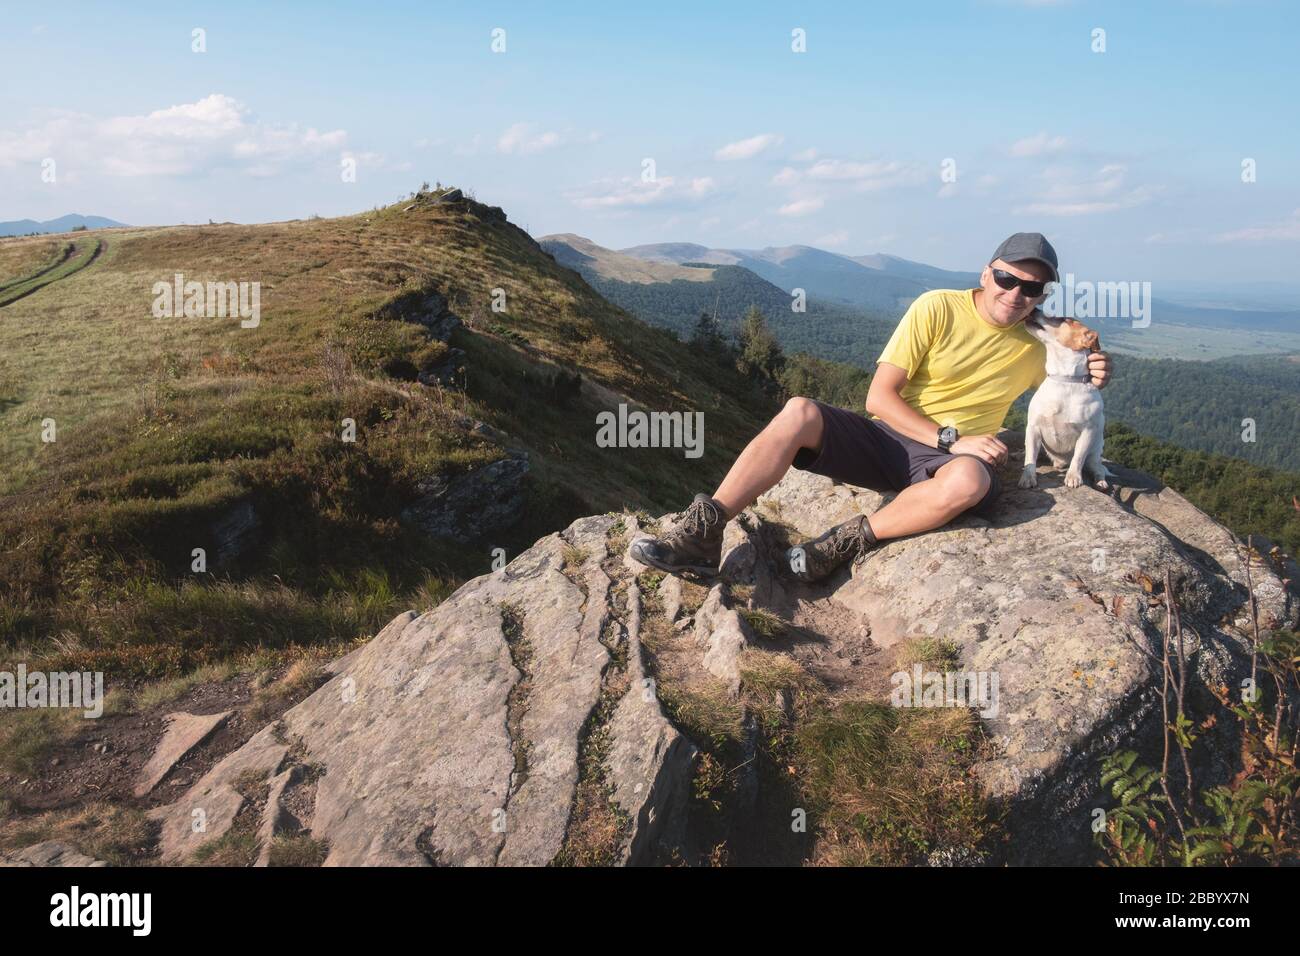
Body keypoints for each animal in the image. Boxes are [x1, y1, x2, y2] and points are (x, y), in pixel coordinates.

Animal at [1019, 314, 1112, 494]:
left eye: (1062, 319)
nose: (1035, 310)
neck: (1064, 380)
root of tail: (1060, 463)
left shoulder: (1087, 432)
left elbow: (1078, 457)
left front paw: (1073, 478)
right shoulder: (1033, 428)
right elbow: (1030, 457)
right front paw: (1028, 477)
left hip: (1094, 457)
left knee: (1098, 469)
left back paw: (1100, 483)